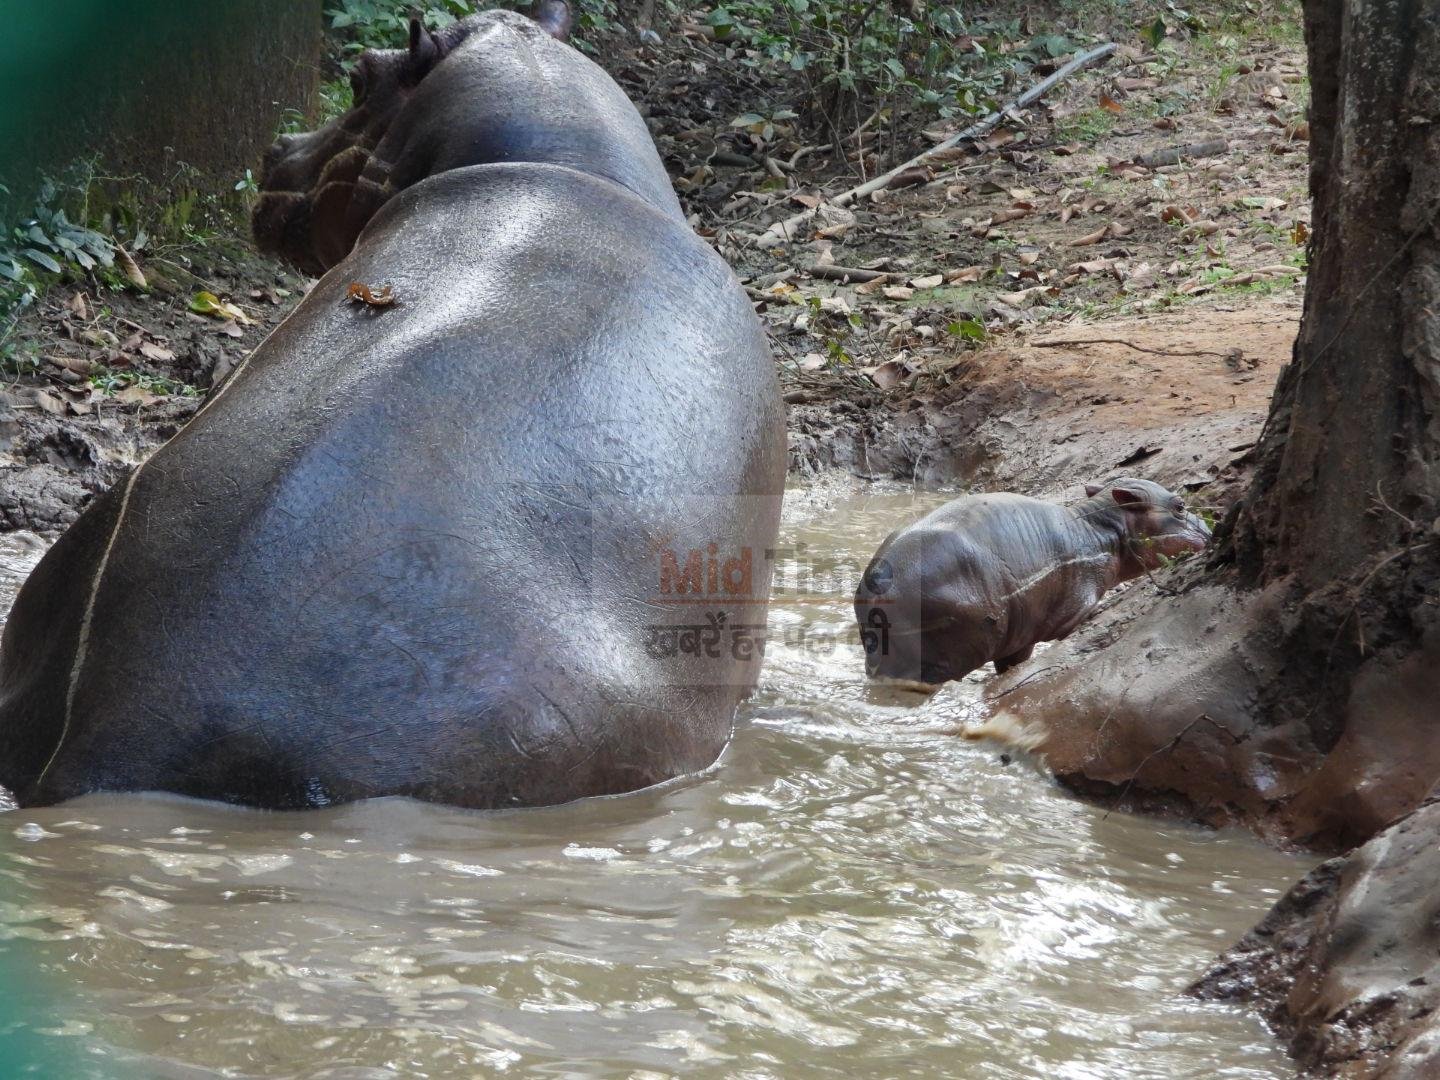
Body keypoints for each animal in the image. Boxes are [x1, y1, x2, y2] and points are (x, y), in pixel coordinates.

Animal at [854, 479, 1210, 688]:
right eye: (1180, 506)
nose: (1208, 528)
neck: (1102, 530)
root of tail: (878, 584)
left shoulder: (1021, 636)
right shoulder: (1076, 609)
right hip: (950, 651)